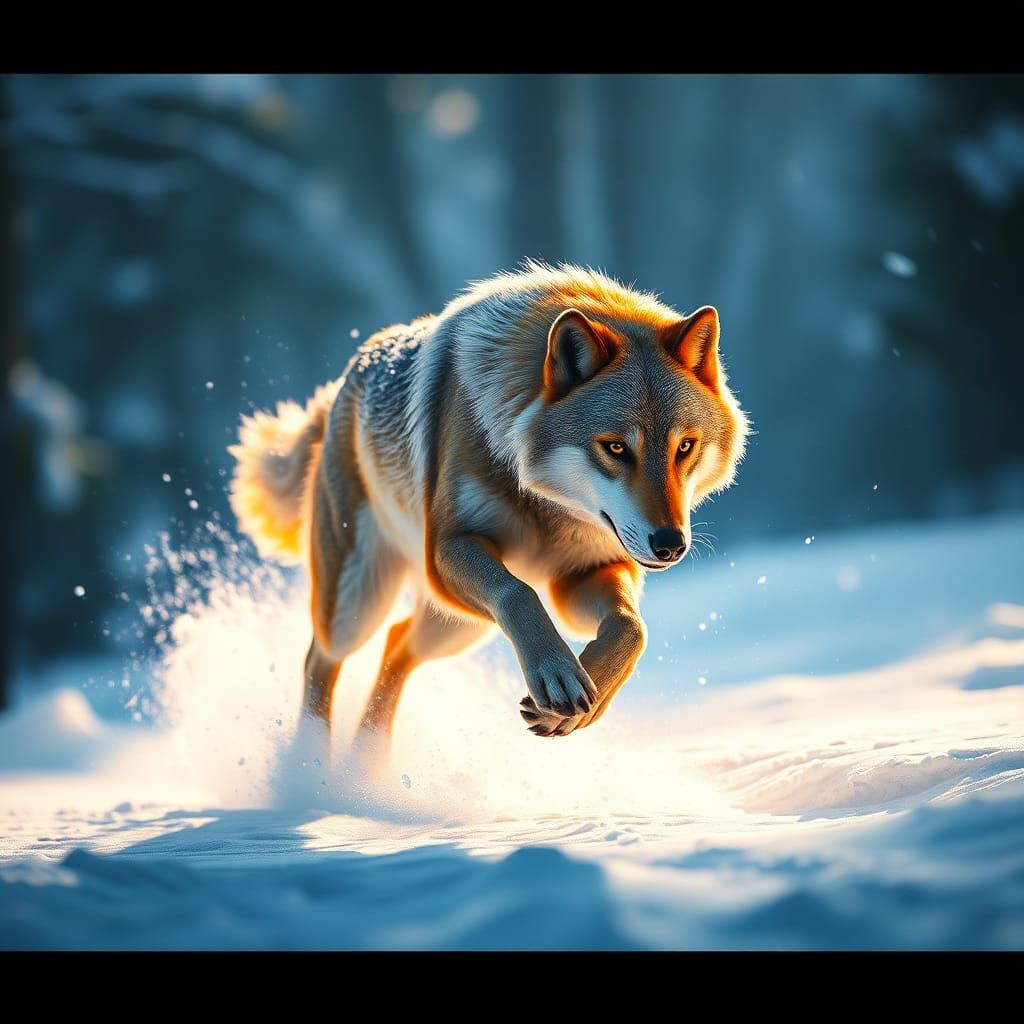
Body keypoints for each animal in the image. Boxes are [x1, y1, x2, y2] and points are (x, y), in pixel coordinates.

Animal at [230, 262, 747, 760]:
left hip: (456, 626)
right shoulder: (449, 550)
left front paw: (585, 703)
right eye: (616, 447)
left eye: (685, 447)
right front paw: (558, 674)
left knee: (397, 646)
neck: (549, 505)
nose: (670, 545)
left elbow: (631, 628)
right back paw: (310, 764)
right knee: (320, 659)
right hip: (361, 605)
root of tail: (346, 377)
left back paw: (366, 764)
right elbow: (519, 593)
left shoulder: (585, 572)